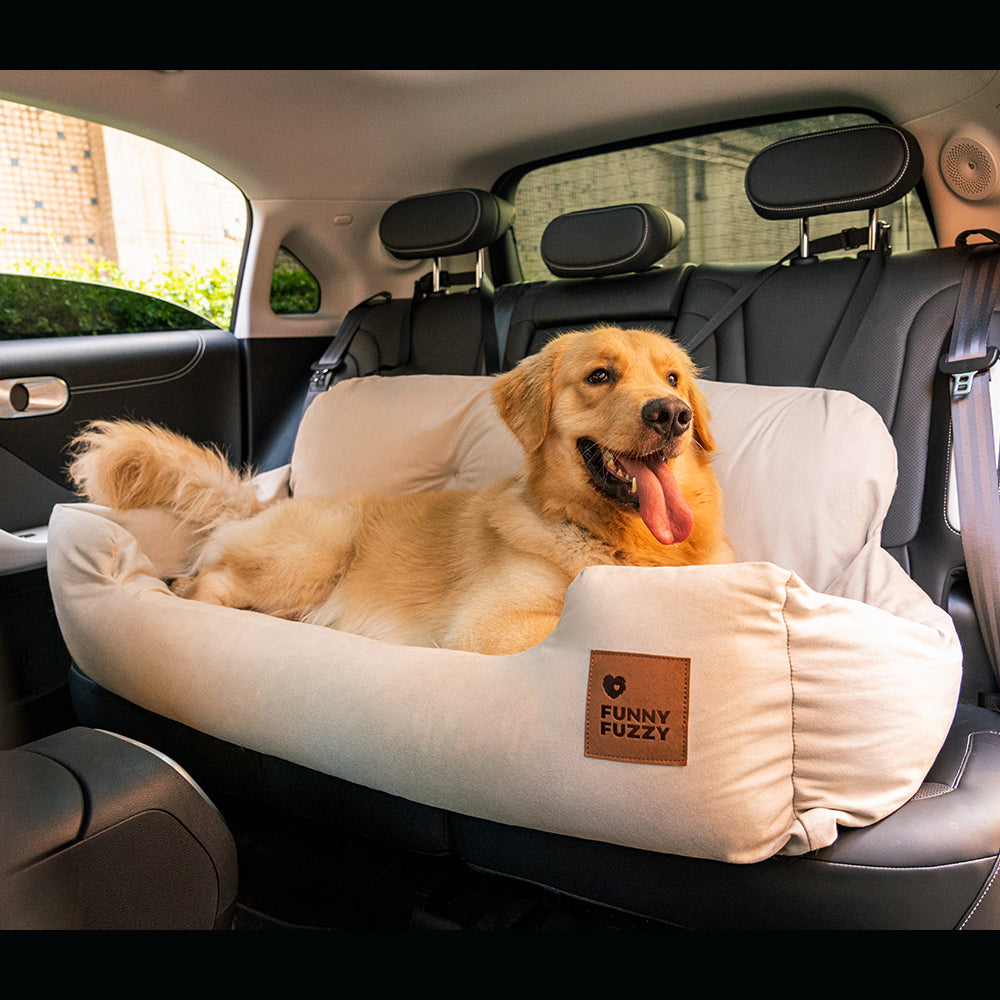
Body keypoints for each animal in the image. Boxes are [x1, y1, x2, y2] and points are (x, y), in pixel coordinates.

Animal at [66, 326, 732, 656]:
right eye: (599, 376)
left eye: (673, 378)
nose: (671, 414)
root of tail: (255, 504)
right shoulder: (490, 629)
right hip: (315, 550)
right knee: (203, 586)